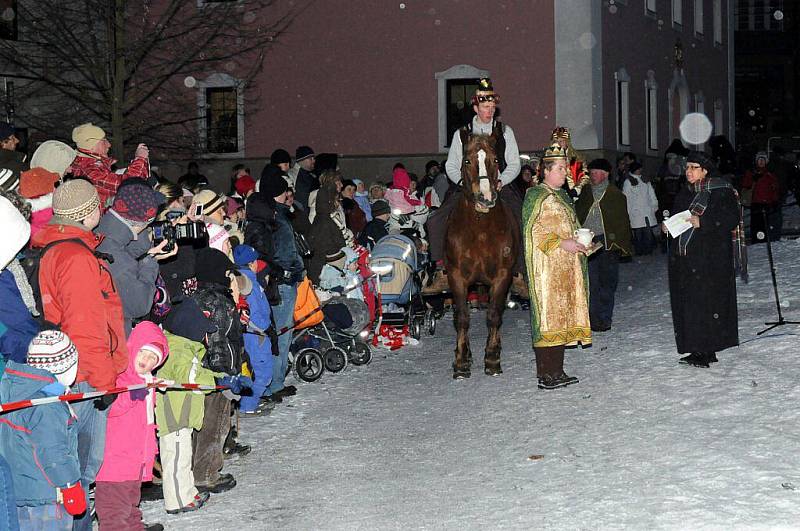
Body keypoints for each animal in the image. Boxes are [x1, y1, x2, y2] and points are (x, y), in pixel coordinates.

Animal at [444, 131, 520, 380]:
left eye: (495, 160)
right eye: (467, 161)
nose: (485, 197)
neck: (480, 229)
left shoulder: (502, 276)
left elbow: (494, 315)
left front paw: (492, 359)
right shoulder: (456, 276)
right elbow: (462, 318)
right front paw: (461, 362)